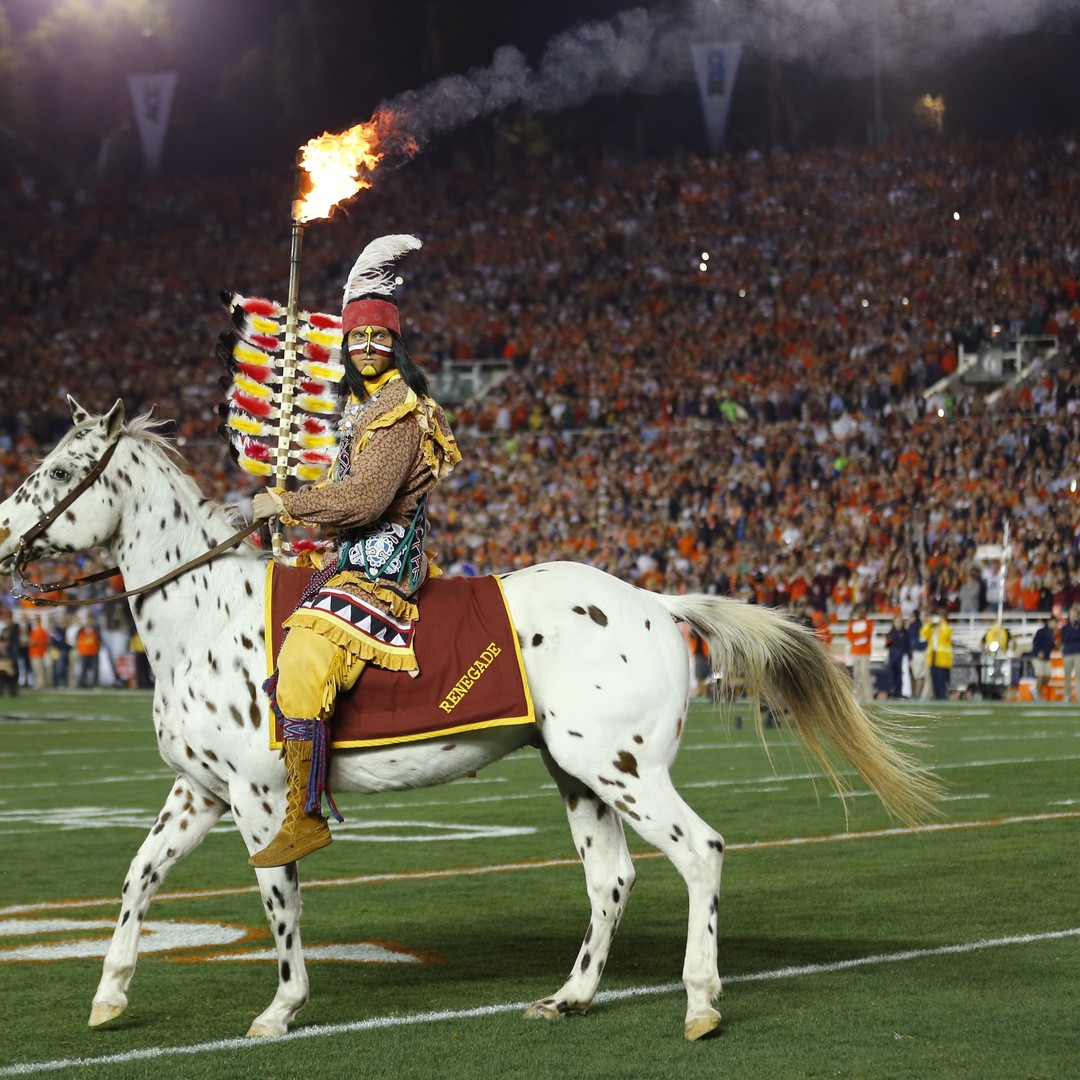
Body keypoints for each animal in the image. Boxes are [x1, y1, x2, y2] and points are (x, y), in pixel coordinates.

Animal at [0, 401, 937, 1041]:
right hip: (577, 773)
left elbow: (279, 899)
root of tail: (657, 601)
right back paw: (571, 997)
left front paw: (282, 1006)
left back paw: (701, 1002)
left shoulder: (261, 798)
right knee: (612, 880)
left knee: (699, 852)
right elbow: (137, 879)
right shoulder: (197, 792)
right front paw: (110, 992)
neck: (200, 615)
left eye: (57, 474)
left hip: (625, 770)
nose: (2, 534)